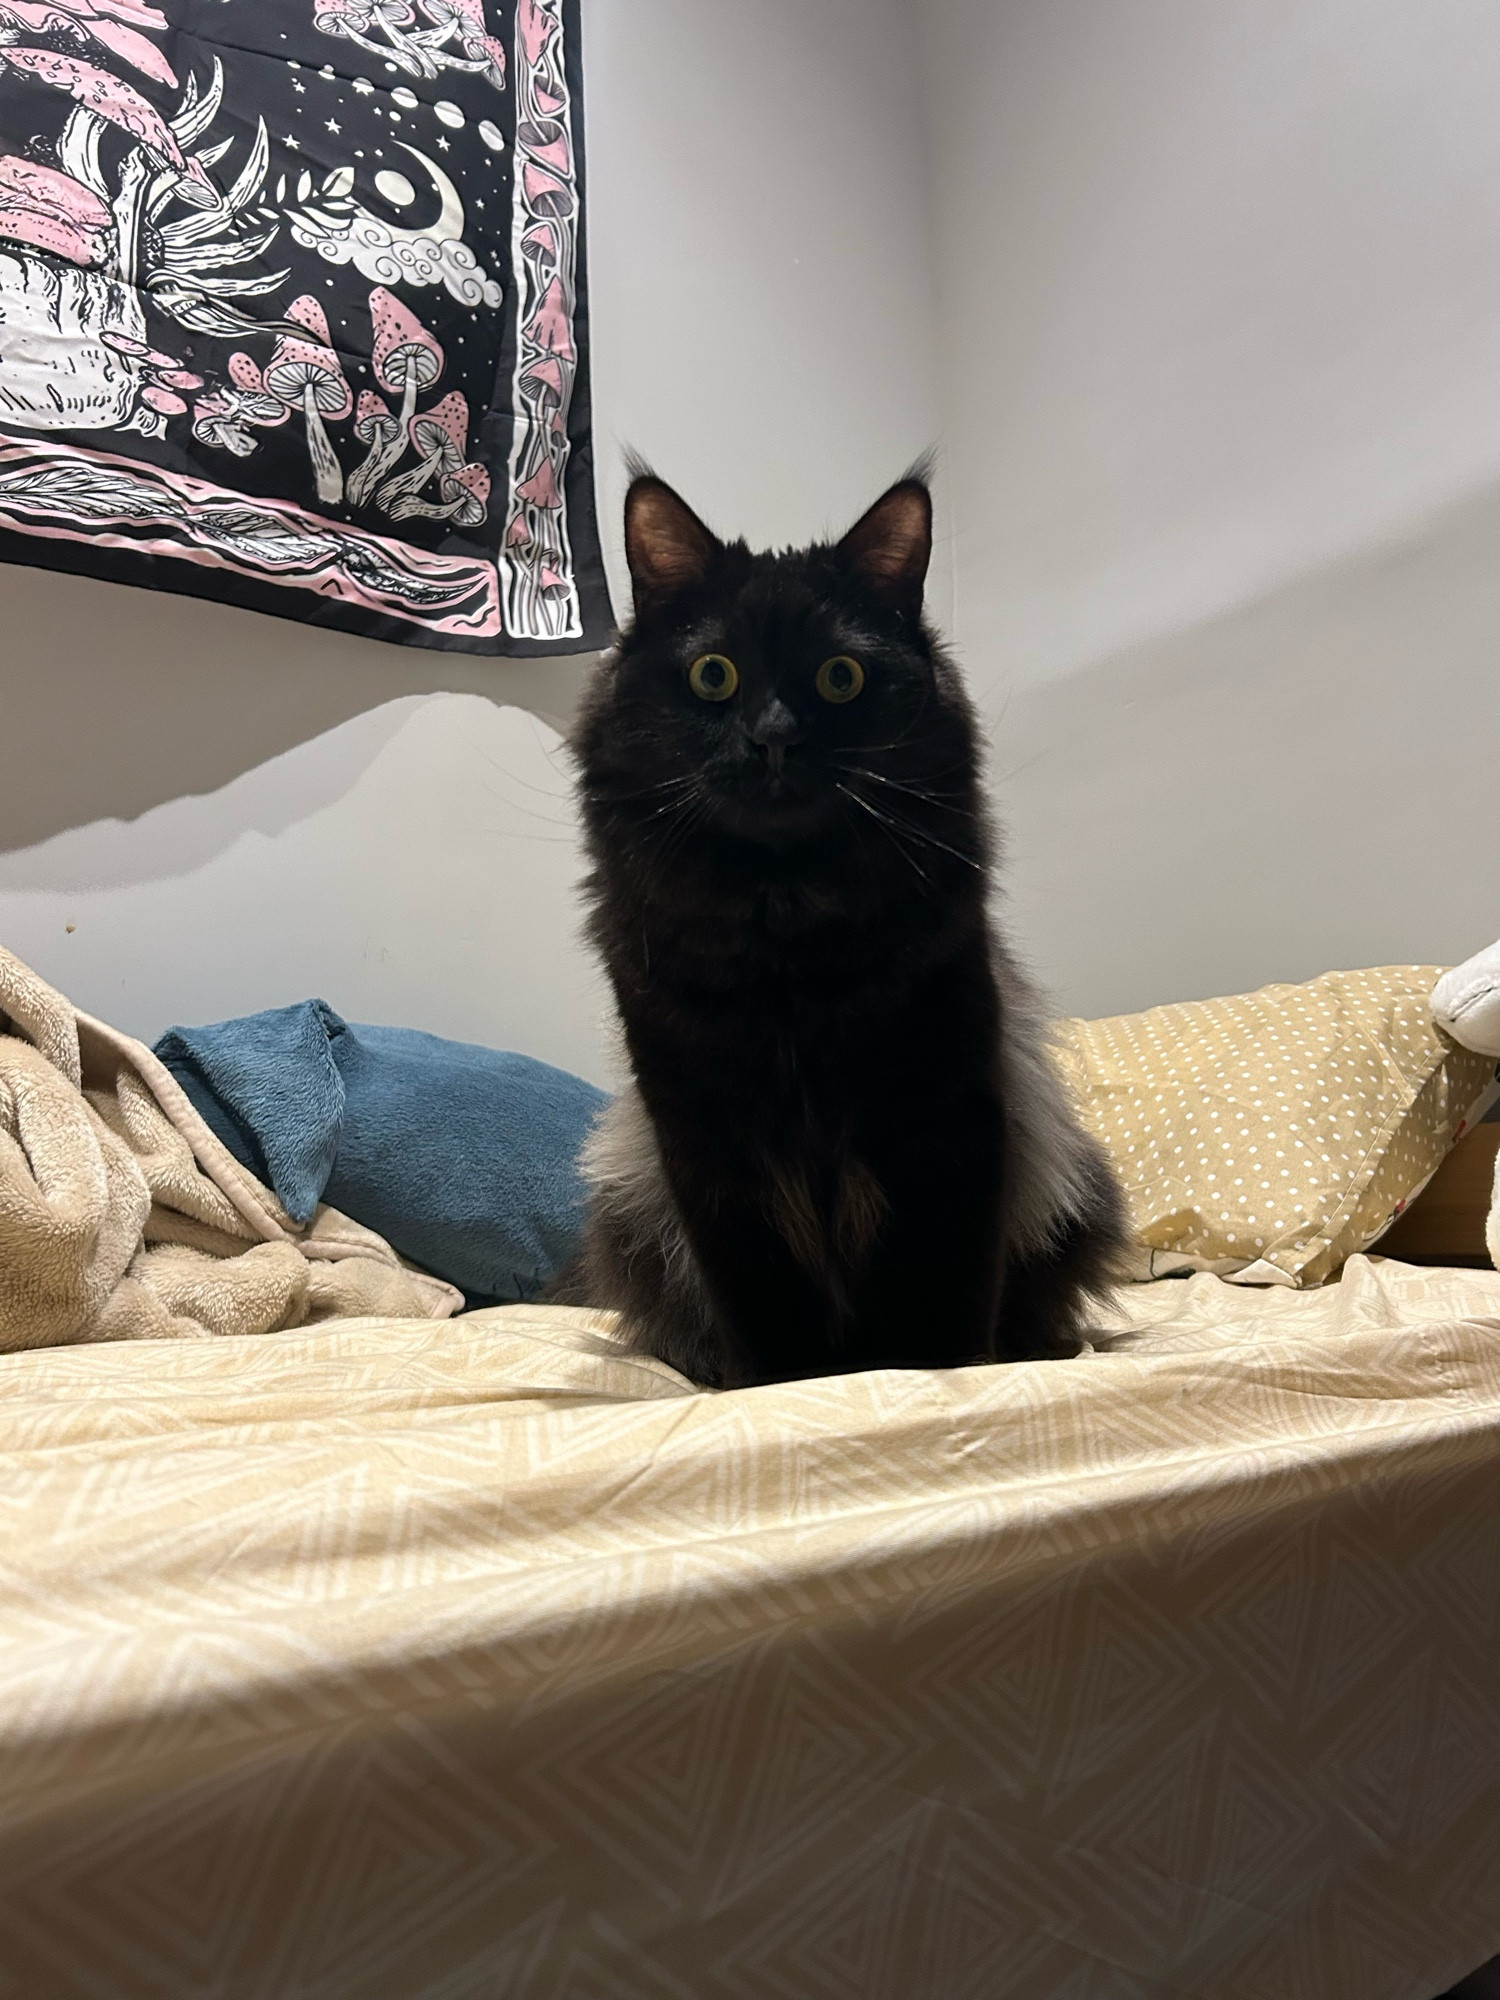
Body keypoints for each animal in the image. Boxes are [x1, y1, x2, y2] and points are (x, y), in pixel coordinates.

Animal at [560, 468, 1128, 1384]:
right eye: (714, 675)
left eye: (840, 678)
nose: (773, 741)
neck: (786, 932)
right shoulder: (702, 1138)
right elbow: (760, 1302)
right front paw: (781, 1388)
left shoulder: (951, 1107)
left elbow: (944, 1285)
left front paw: (940, 1376)